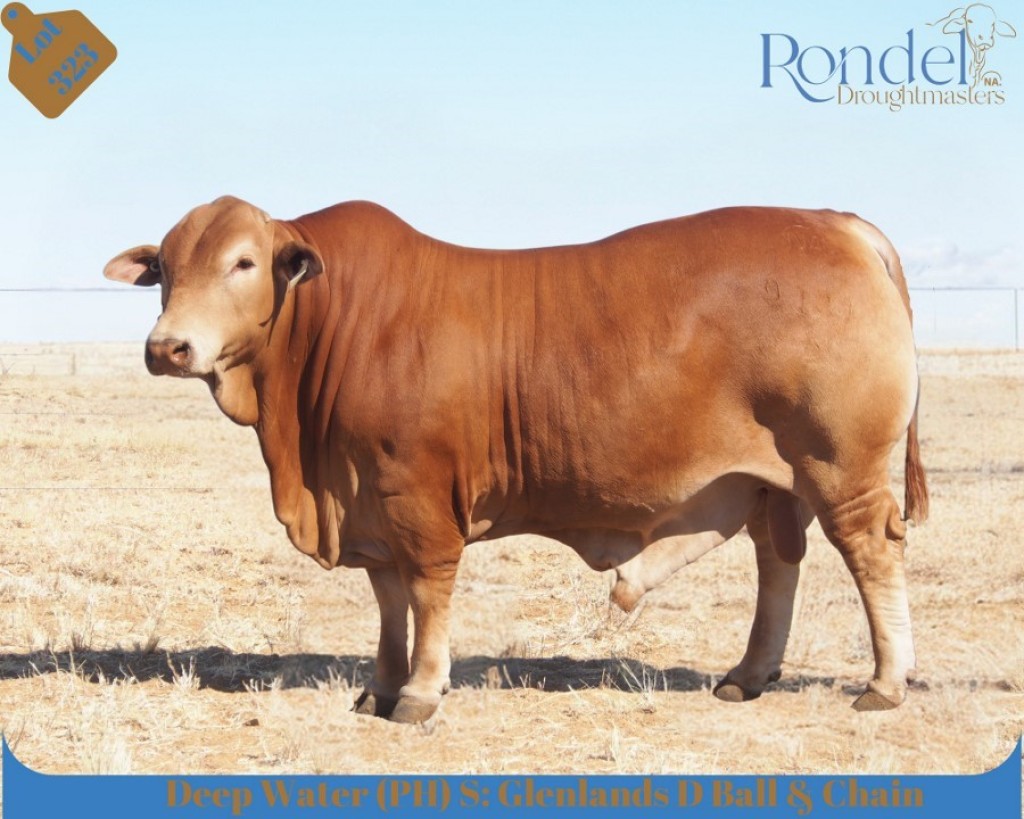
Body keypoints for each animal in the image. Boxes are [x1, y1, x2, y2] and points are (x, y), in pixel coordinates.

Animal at [104, 197, 928, 723]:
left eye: (244, 261)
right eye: (165, 269)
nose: (167, 347)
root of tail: (840, 224)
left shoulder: (417, 496)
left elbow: (428, 591)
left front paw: (420, 693)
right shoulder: (368, 504)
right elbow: (388, 599)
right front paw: (379, 686)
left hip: (841, 468)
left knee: (870, 553)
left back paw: (884, 684)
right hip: (775, 479)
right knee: (777, 558)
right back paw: (748, 676)